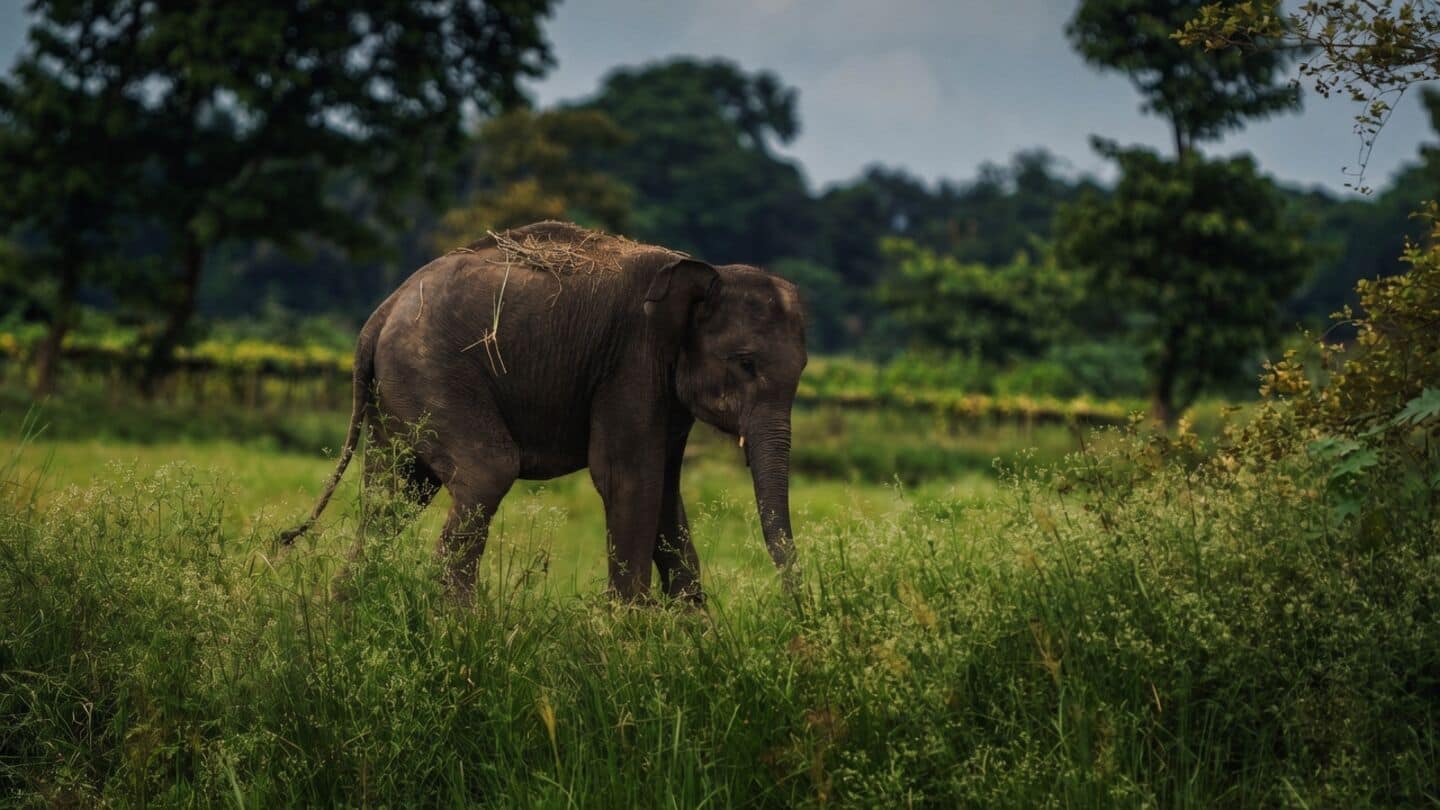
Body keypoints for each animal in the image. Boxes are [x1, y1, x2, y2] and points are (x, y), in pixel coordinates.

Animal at [279, 221, 807, 604]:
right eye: (746, 363)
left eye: (803, 368)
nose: (794, 610)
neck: (700, 269)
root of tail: (379, 315)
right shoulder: (630, 364)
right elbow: (628, 480)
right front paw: (631, 643)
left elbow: (663, 489)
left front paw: (692, 642)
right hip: (430, 372)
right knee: (484, 472)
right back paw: (464, 633)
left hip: (395, 394)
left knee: (393, 496)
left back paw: (345, 619)